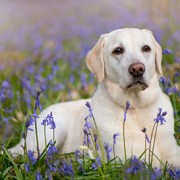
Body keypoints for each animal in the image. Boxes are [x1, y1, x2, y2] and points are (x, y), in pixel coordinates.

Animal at [10, 27, 179, 167]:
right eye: (118, 50)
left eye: (146, 48)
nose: (137, 69)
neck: (136, 107)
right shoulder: (126, 158)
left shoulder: (172, 154)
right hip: (54, 128)